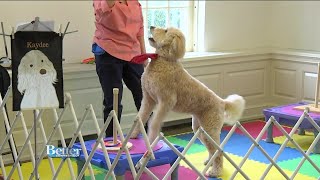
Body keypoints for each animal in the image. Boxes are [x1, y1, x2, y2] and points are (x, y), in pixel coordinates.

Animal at [130, 26, 245, 177]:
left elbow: (154, 122)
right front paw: (133, 134)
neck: (164, 59)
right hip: (200, 130)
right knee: (212, 150)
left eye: (166, 31)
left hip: (210, 128)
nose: (151, 27)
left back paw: (215, 171)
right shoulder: (148, 99)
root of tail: (221, 102)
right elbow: (140, 117)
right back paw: (209, 162)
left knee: (219, 152)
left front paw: (151, 137)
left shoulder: (166, 102)